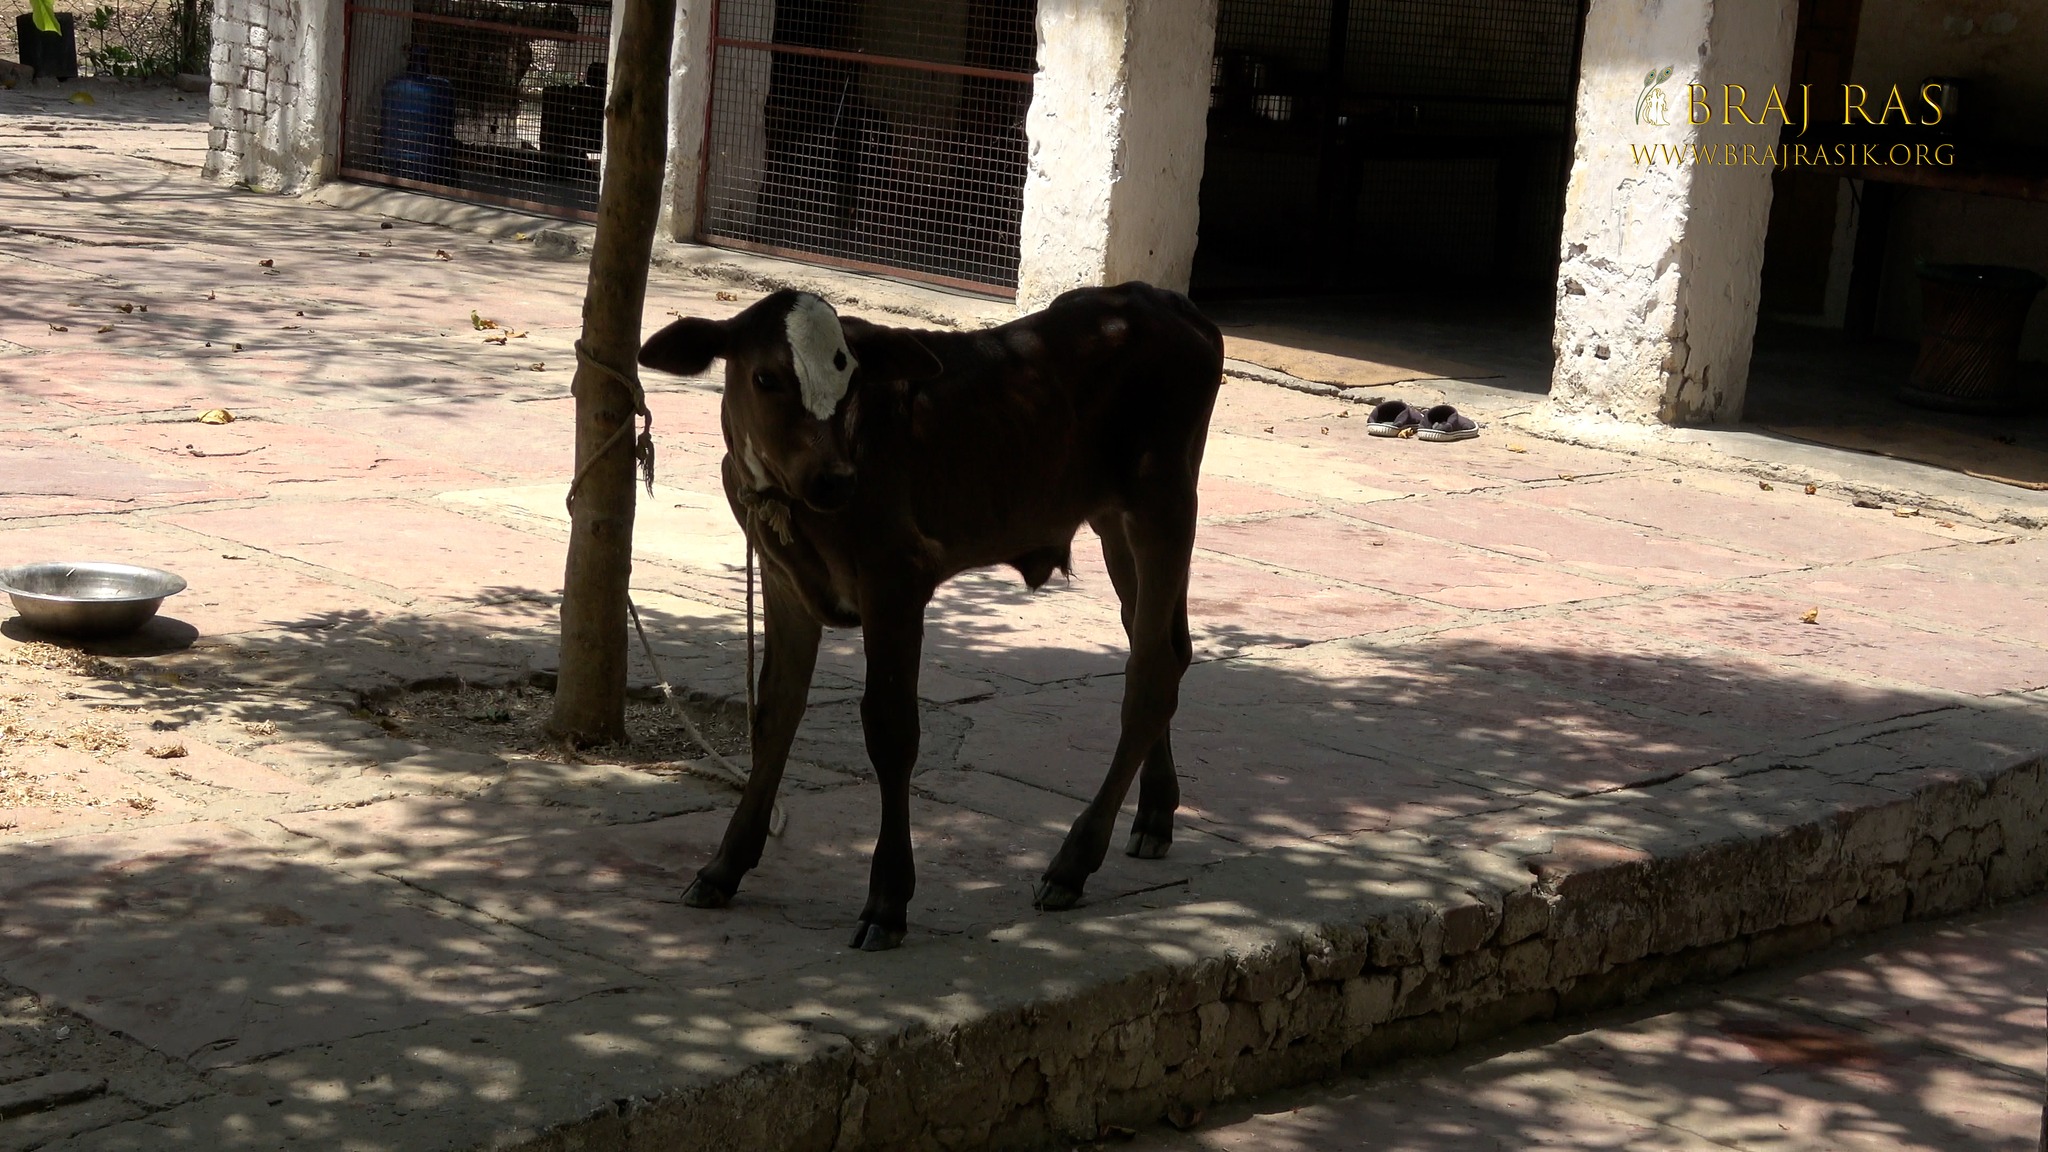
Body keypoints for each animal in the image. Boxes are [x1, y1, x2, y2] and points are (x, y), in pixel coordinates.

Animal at [637, 282, 1223, 951]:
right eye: (766, 377)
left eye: (849, 378)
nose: (834, 479)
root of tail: (1160, 300)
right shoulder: (787, 586)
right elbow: (774, 716)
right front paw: (725, 866)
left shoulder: (897, 582)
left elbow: (891, 732)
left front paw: (888, 900)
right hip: (1113, 518)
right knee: (1165, 649)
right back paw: (1154, 813)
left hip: (1163, 502)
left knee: (1151, 674)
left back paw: (1073, 863)